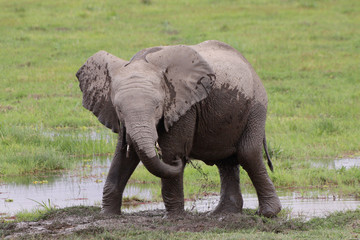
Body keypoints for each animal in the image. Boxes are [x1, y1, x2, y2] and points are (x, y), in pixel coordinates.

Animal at [76, 39, 282, 218]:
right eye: (118, 109)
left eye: (158, 107)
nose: (182, 158)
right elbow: (124, 156)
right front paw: (108, 215)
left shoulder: (185, 105)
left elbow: (170, 150)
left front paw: (173, 218)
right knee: (225, 161)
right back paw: (222, 214)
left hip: (256, 106)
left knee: (248, 153)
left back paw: (268, 214)